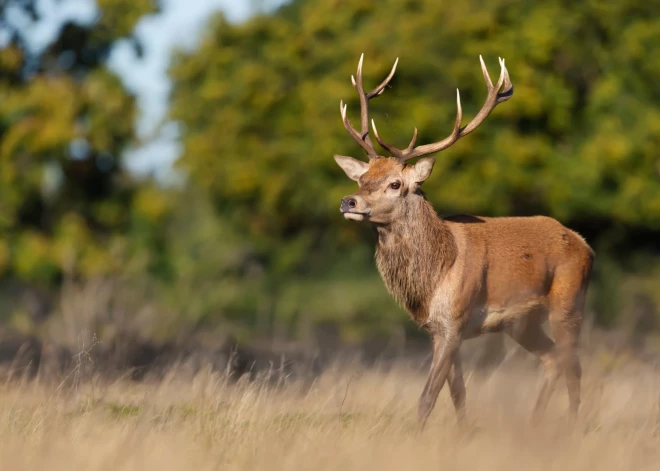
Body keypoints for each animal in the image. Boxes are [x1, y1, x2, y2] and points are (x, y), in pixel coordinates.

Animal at [332, 53, 596, 430]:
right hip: (522, 322)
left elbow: (428, 397)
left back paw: (571, 426)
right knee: (552, 359)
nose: (348, 202)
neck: (435, 275)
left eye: (395, 183)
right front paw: (463, 433)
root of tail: (584, 244)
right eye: (363, 178)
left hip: (569, 300)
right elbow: (458, 393)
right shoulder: (436, 329)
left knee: (573, 365)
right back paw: (534, 424)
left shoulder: (455, 321)